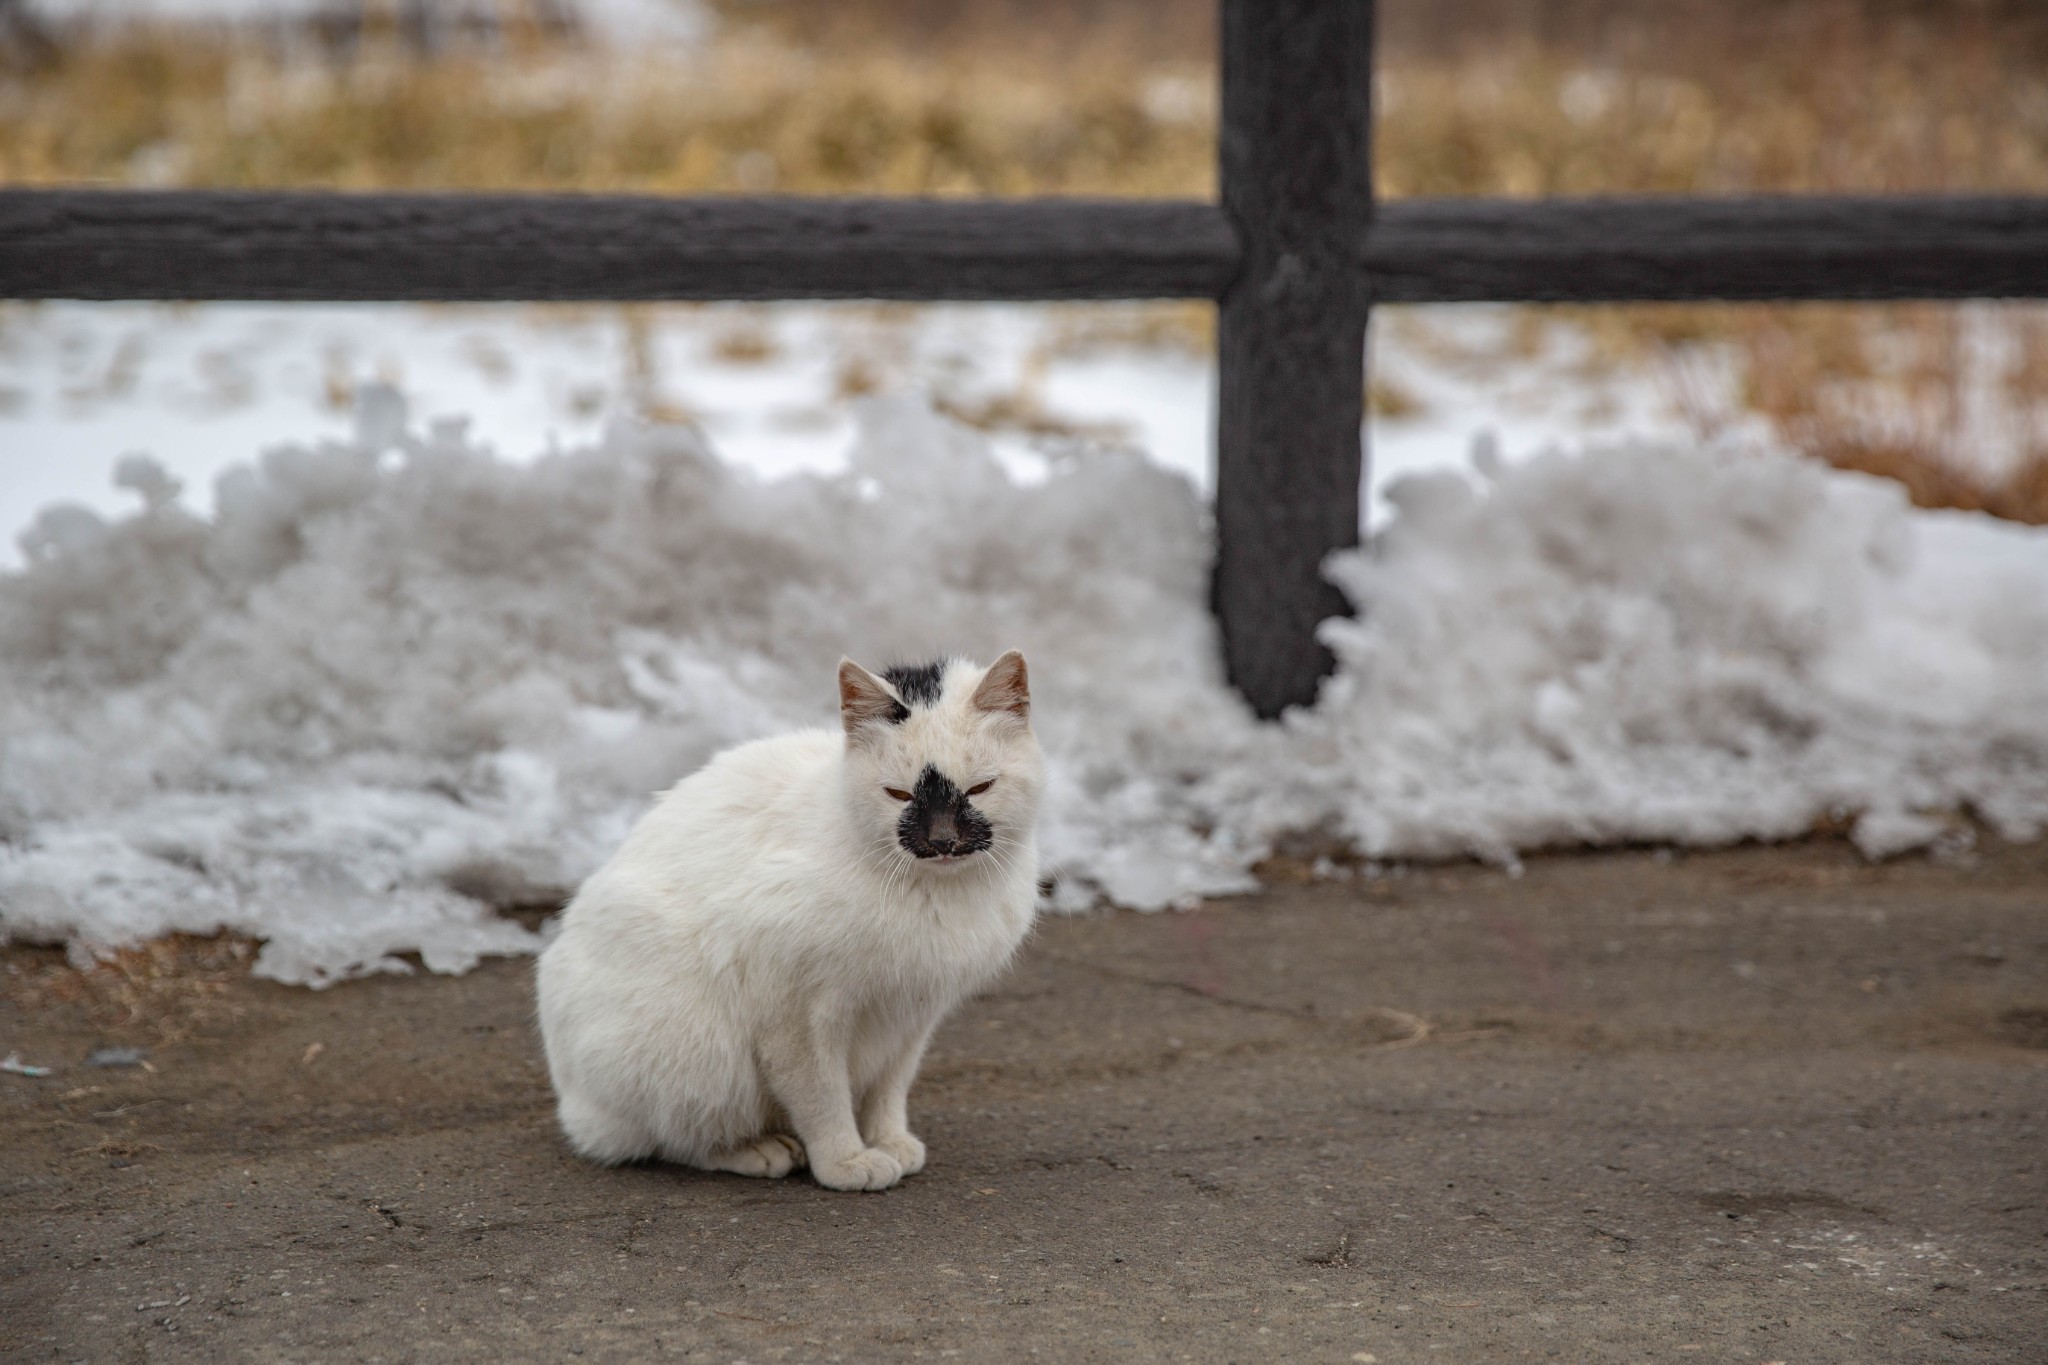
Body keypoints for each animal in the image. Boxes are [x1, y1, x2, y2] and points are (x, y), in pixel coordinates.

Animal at [536, 650, 1040, 1186]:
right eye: (899, 795)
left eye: (980, 788)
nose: (942, 841)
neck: (933, 893)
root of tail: (574, 1101)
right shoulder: (794, 1015)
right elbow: (821, 1096)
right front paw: (846, 1160)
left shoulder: (911, 1016)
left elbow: (889, 1087)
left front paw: (888, 1140)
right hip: (701, 1056)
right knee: (670, 1138)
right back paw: (757, 1150)